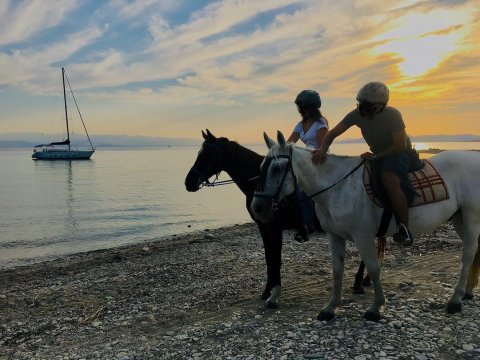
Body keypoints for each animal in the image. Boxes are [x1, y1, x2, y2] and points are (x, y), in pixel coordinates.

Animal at [185, 129, 372, 306]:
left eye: (206, 154)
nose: (188, 182)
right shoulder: (263, 227)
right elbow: (269, 258)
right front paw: (267, 290)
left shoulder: (274, 227)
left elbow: (276, 259)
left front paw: (274, 293)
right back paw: (366, 280)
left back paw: (359, 282)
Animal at [251, 131, 480, 320]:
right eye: (261, 168)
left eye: (277, 168)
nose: (257, 207)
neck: (338, 188)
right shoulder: (334, 236)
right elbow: (337, 269)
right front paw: (331, 308)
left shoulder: (363, 237)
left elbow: (373, 267)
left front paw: (376, 308)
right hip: (458, 218)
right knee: (475, 251)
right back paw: (468, 293)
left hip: (471, 217)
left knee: (468, 253)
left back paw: (455, 300)